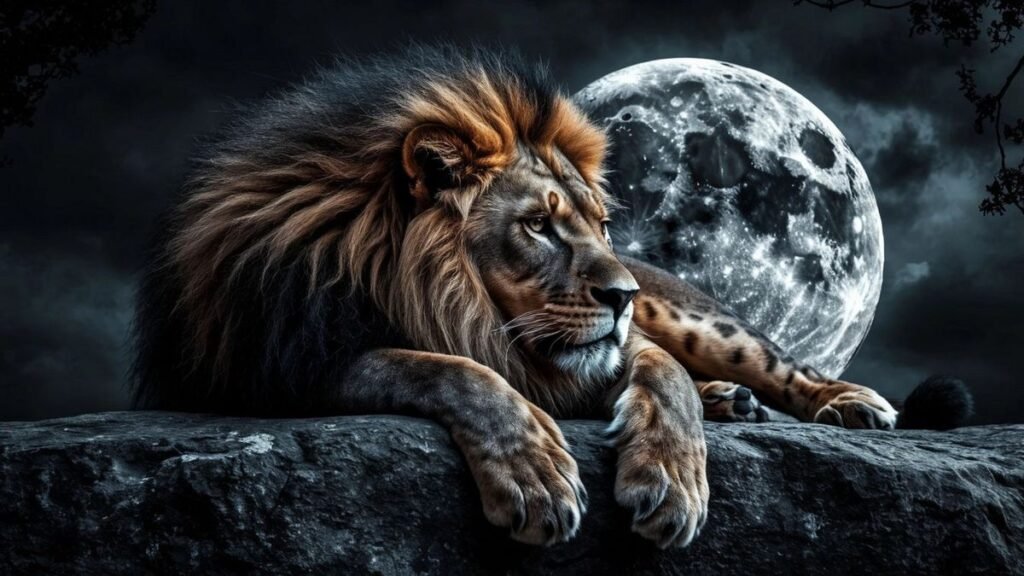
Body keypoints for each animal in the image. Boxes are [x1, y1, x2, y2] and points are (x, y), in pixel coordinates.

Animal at [132, 45, 972, 549]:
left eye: (600, 223)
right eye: (538, 225)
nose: (622, 293)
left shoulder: (621, 343)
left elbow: (664, 376)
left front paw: (672, 481)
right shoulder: (281, 364)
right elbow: (447, 368)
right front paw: (534, 472)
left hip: (702, 318)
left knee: (772, 361)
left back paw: (840, 401)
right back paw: (734, 402)